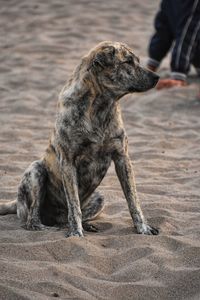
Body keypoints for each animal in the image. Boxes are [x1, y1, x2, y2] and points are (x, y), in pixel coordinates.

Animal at [0, 41, 159, 237]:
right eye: (128, 62)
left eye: (136, 60)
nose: (157, 77)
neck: (100, 108)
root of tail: (16, 204)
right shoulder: (68, 162)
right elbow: (74, 206)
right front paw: (76, 234)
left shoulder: (122, 158)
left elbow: (133, 200)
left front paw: (143, 228)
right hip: (36, 171)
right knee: (33, 218)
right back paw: (48, 227)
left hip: (100, 197)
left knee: (65, 219)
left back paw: (85, 225)